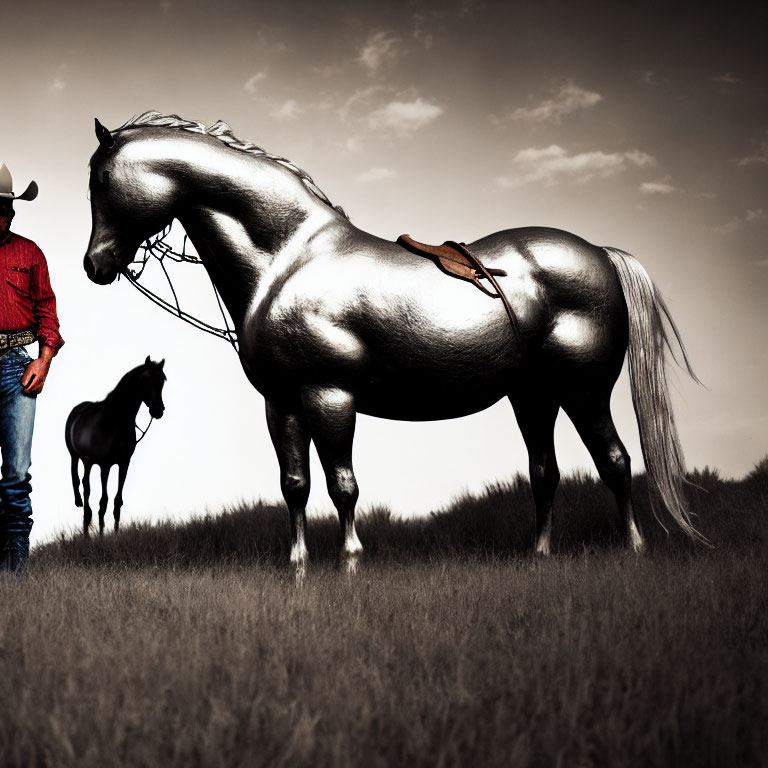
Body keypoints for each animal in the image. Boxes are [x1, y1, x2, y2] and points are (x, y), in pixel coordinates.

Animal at [65, 358, 166, 536]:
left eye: (162, 381)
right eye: (146, 380)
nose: (158, 411)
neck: (114, 422)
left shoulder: (124, 463)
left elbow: (117, 500)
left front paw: (116, 533)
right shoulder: (105, 466)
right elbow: (103, 501)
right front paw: (101, 535)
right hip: (79, 458)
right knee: (83, 486)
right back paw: (86, 527)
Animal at [82, 111, 704, 572]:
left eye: (103, 182)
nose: (96, 265)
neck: (288, 258)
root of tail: (598, 253)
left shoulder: (330, 395)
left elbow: (343, 486)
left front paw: (351, 563)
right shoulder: (281, 401)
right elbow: (294, 484)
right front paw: (297, 566)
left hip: (584, 390)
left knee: (615, 461)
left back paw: (634, 549)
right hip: (532, 396)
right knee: (544, 471)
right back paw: (541, 555)